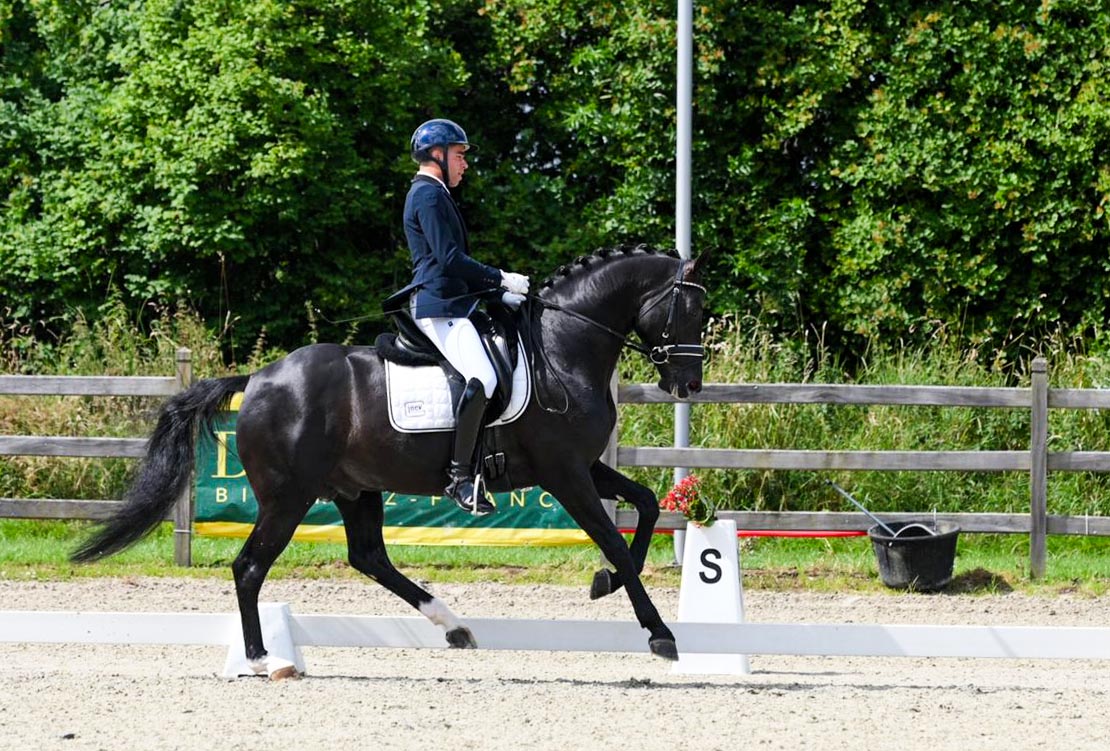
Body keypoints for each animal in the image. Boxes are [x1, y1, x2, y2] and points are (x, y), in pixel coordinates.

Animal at [73, 244, 705, 674]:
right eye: (690, 311)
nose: (688, 385)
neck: (562, 348)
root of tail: (256, 380)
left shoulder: (579, 466)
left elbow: (647, 505)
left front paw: (605, 585)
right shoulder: (564, 472)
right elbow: (615, 540)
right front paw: (658, 633)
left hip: (355, 488)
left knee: (368, 556)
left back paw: (453, 625)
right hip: (288, 497)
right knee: (251, 567)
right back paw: (262, 659)